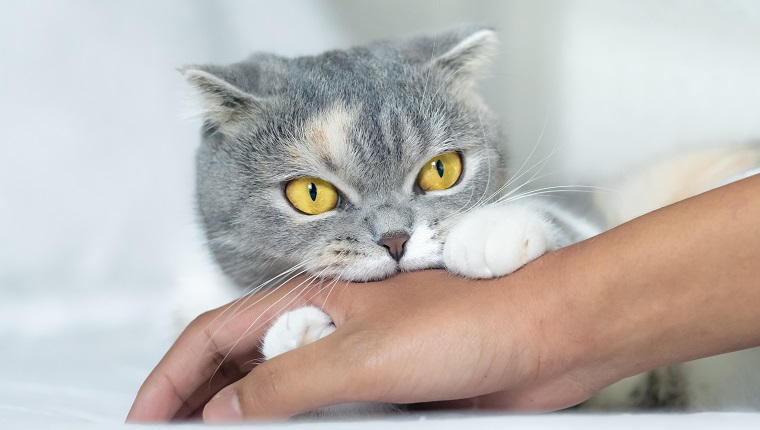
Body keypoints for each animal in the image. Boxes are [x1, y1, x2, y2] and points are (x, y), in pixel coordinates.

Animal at [180, 26, 760, 416]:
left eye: (442, 170)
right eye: (311, 194)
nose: (396, 239)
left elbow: (557, 221)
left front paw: (489, 231)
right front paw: (297, 335)